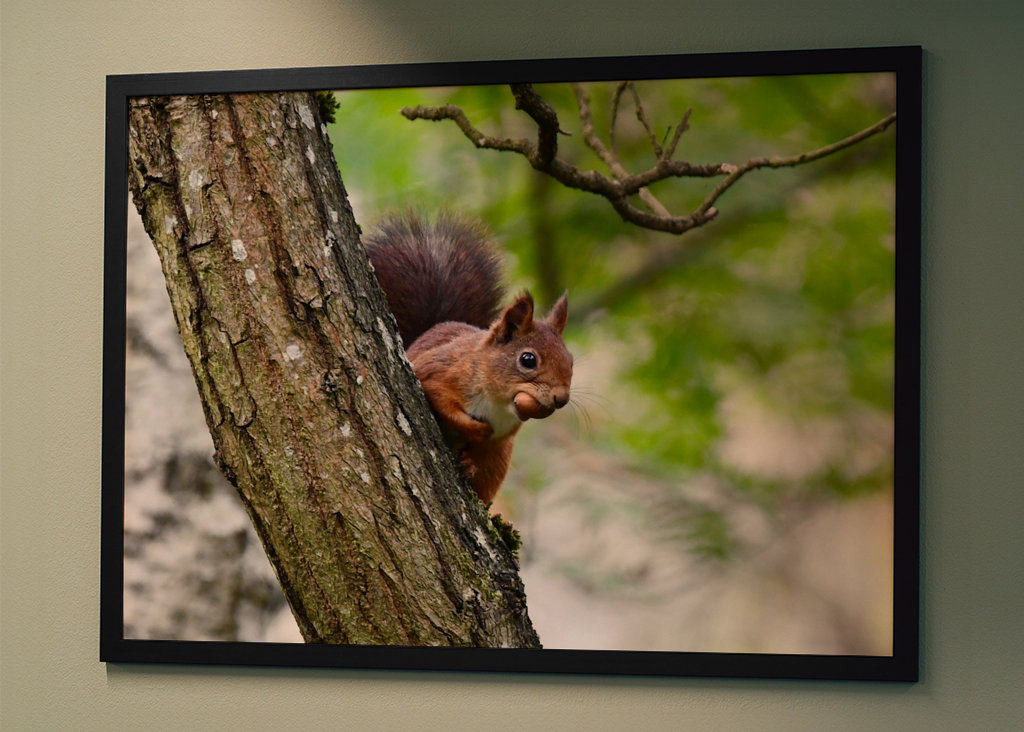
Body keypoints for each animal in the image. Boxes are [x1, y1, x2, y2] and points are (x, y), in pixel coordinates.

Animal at [364, 213, 573, 505]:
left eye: (571, 361)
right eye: (528, 360)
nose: (561, 399)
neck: (497, 401)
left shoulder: (500, 438)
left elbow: (483, 448)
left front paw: (470, 460)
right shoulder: (438, 372)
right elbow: (440, 401)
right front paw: (474, 428)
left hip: (497, 463)